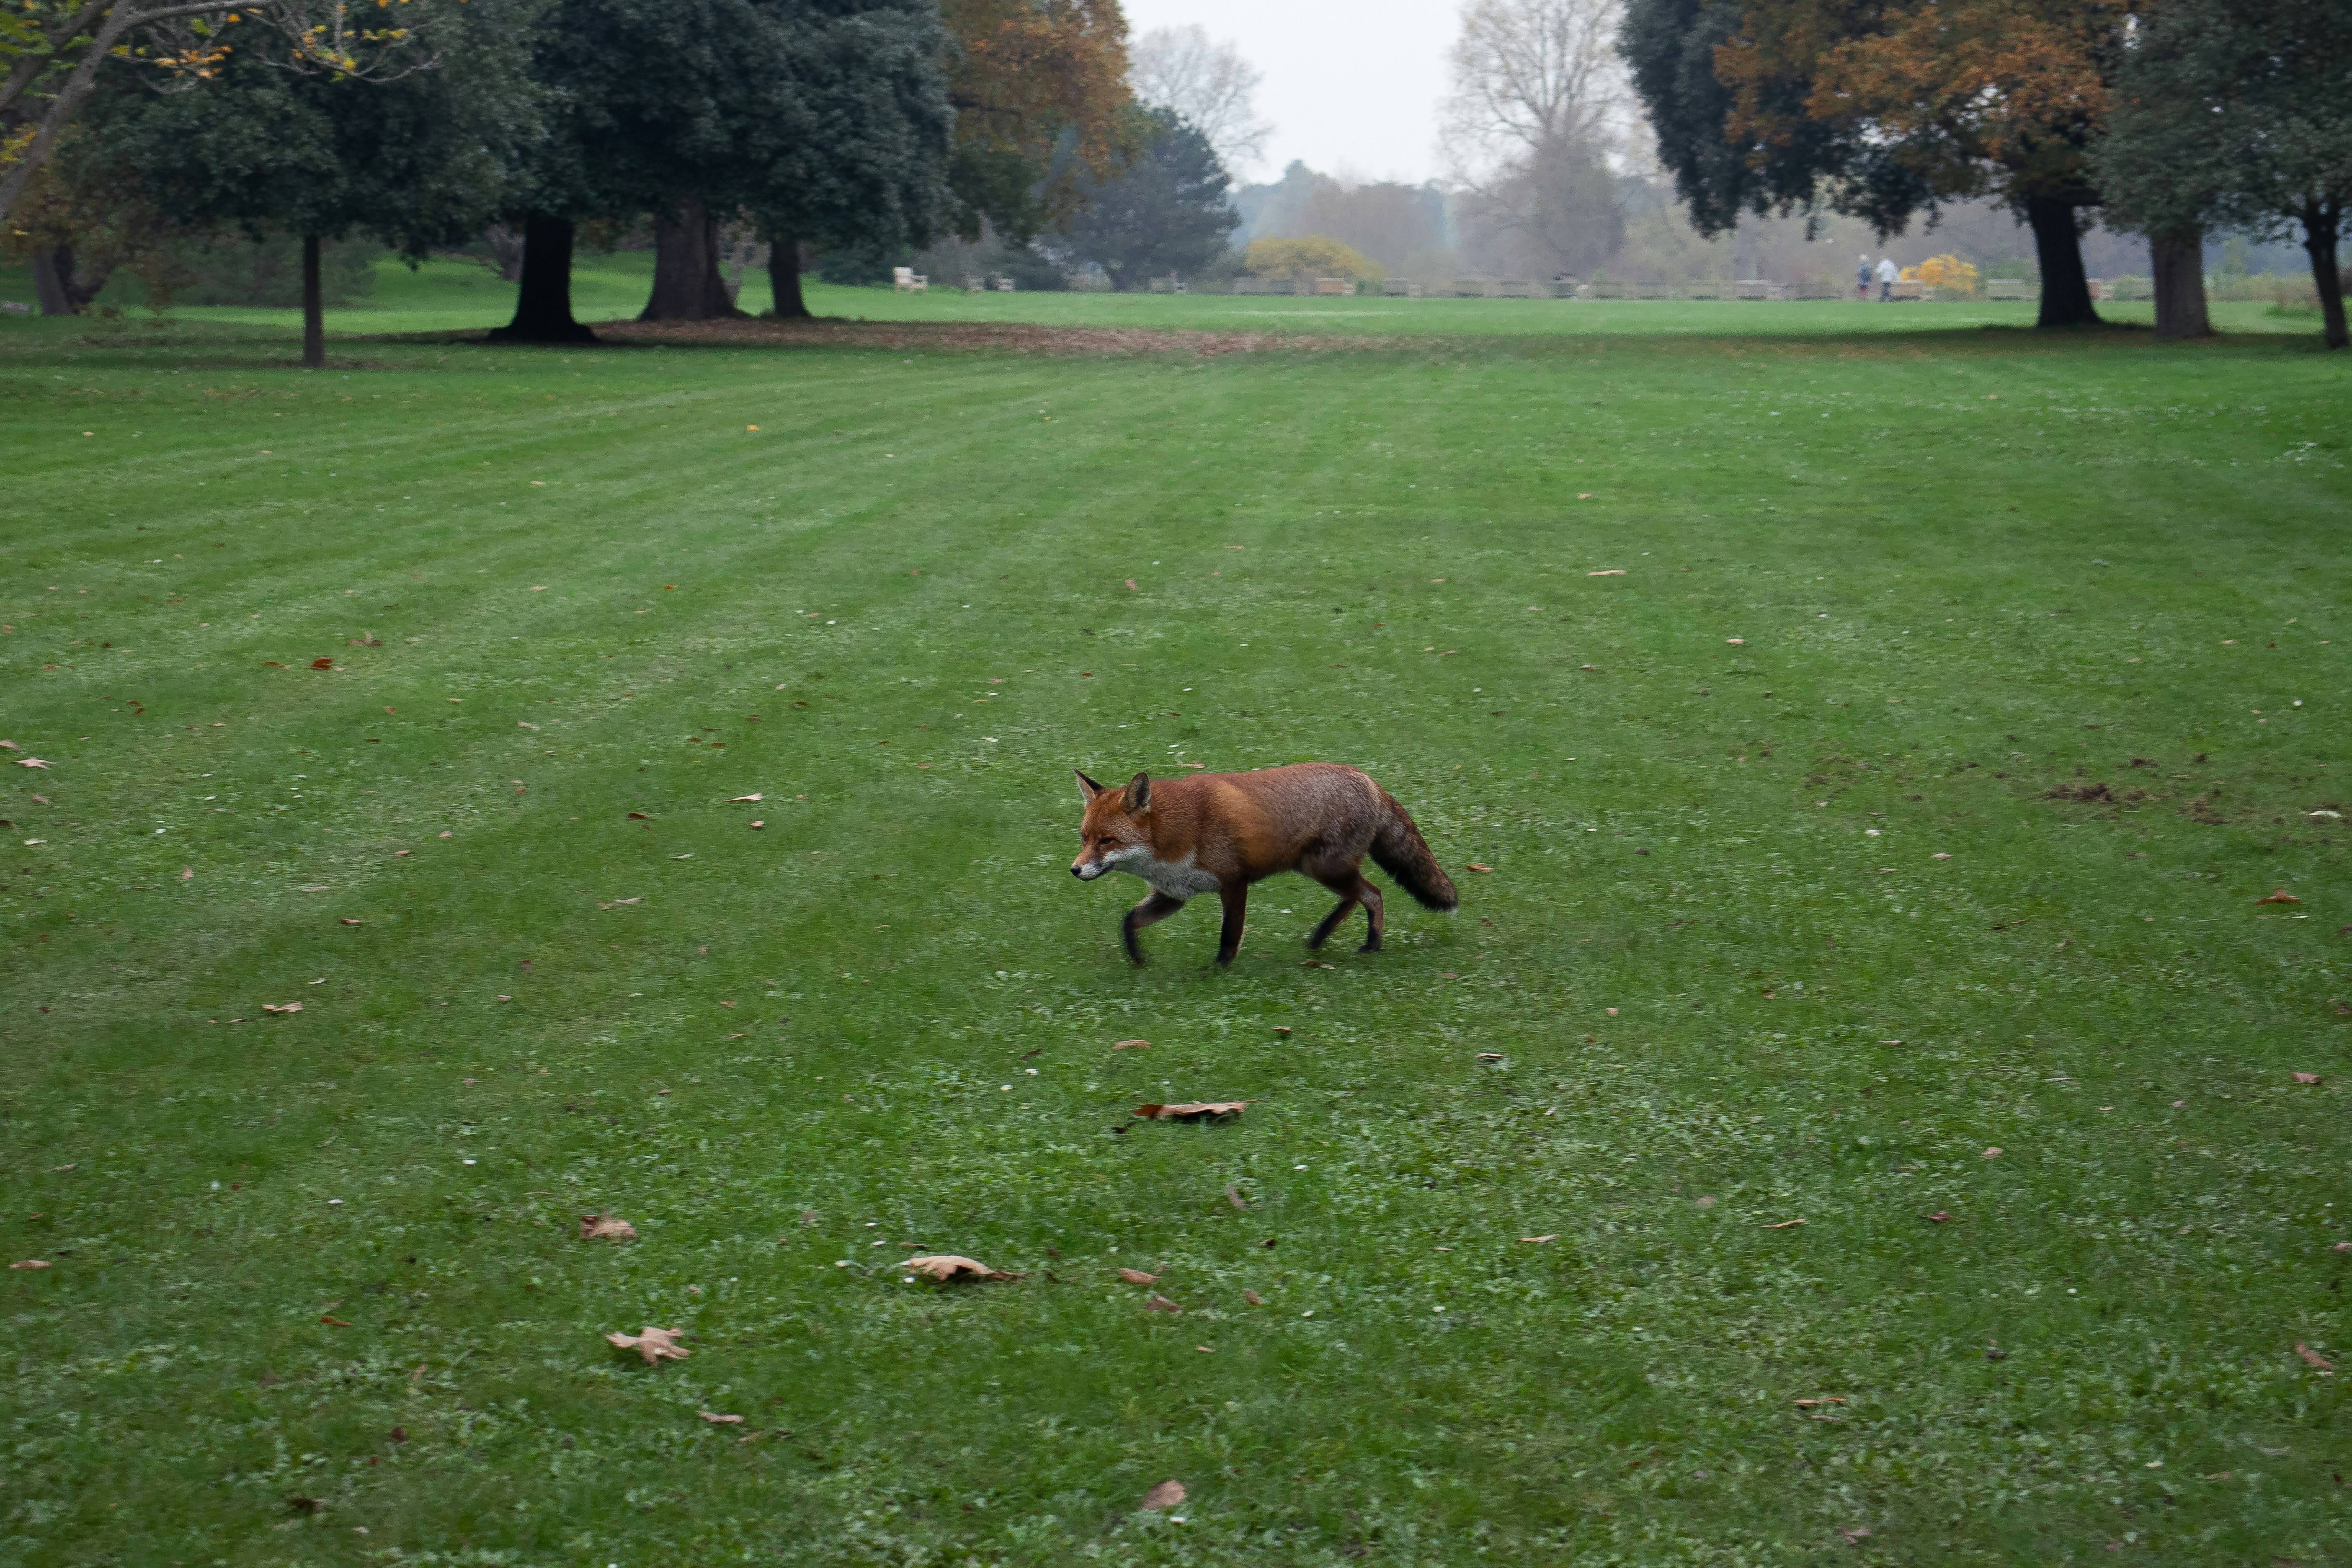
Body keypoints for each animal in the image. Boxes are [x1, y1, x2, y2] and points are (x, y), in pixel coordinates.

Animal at [1071, 762, 1457, 967]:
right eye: (1084, 838)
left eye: (1107, 841)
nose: (1074, 870)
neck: (1174, 834)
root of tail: (1369, 779)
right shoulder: (1174, 894)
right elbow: (1129, 922)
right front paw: (1138, 961)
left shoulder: (1234, 882)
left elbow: (1229, 934)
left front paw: (1219, 970)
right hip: (1317, 869)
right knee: (1355, 897)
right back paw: (1320, 937)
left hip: (1327, 869)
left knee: (1373, 894)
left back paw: (1372, 944)